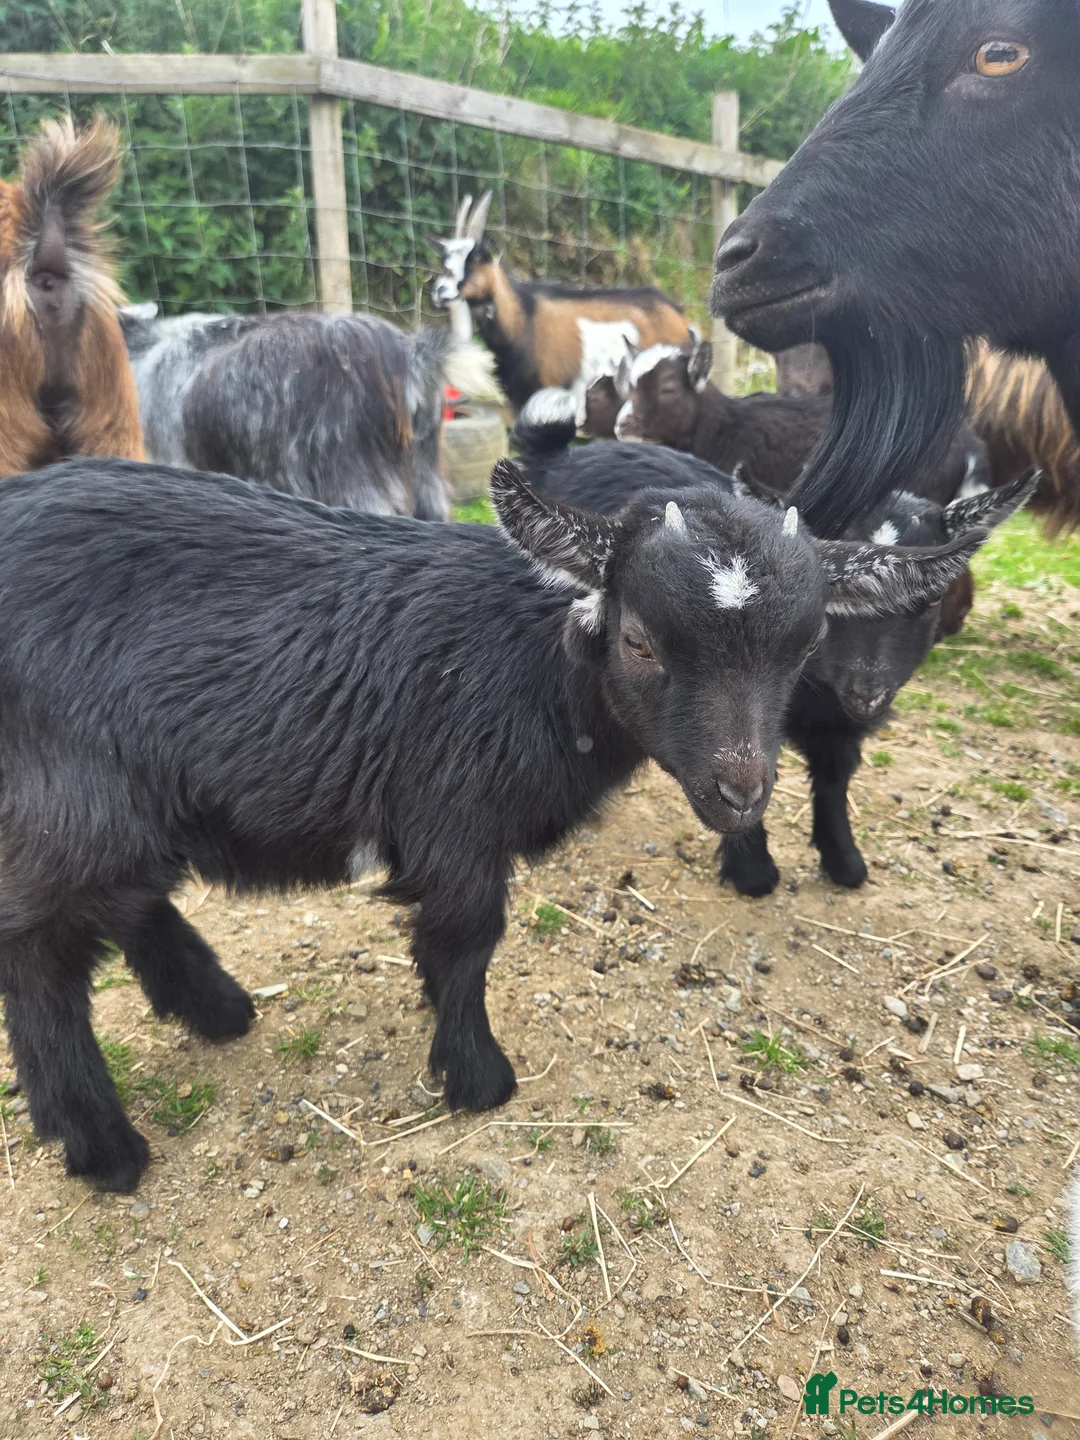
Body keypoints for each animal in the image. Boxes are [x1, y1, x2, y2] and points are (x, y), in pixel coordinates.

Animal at [0, 456, 978, 1190]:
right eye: (640, 639)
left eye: (806, 644)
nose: (739, 794)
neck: (536, 661)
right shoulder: (454, 817)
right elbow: (466, 941)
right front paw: (476, 1077)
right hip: (66, 799)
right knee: (42, 958)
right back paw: (101, 1143)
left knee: (125, 903)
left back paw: (213, 1008)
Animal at [429, 192, 691, 415]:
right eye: (445, 261)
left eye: (476, 259)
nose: (440, 291)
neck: (524, 316)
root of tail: (679, 316)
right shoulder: (518, 398)